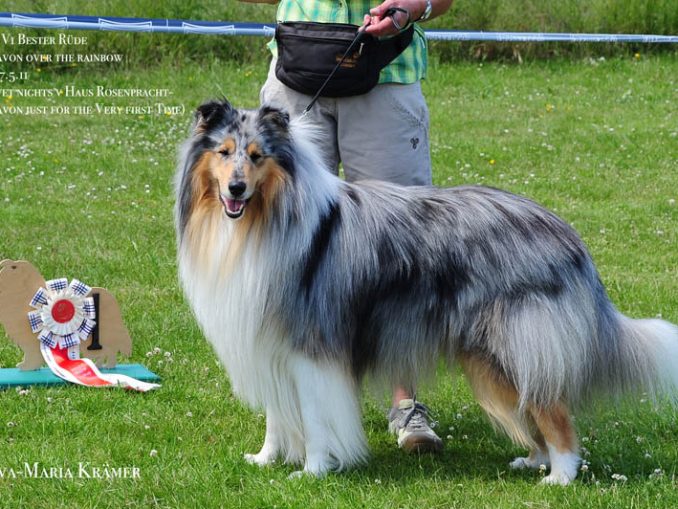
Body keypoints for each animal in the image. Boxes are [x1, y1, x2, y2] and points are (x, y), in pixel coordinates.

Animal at [177, 99, 678, 484]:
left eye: (258, 156)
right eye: (224, 152)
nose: (236, 189)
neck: (265, 221)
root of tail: (568, 235)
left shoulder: (312, 350)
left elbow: (317, 420)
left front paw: (313, 471)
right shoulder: (271, 344)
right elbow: (277, 417)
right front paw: (265, 460)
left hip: (517, 341)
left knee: (553, 411)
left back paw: (561, 475)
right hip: (495, 357)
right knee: (532, 406)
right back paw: (533, 461)